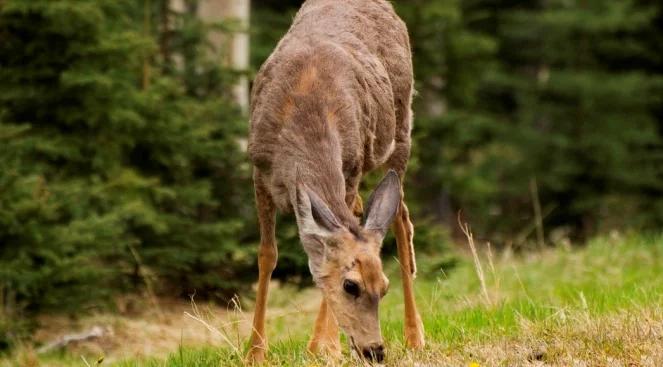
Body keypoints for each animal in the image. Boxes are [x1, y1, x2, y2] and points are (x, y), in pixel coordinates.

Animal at [245, 0, 426, 364]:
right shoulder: (259, 172)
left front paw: (323, 346)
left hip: (401, 131)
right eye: (351, 285)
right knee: (376, 213)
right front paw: (255, 351)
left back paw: (415, 336)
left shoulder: (350, 167)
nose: (375, 350)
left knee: (399, 218)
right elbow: (267, 255)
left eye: (383, 287)